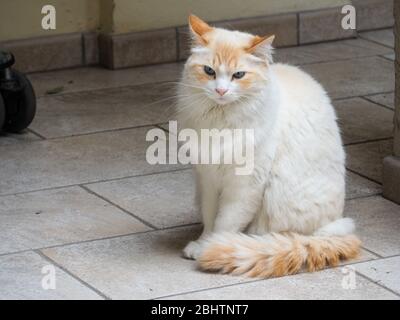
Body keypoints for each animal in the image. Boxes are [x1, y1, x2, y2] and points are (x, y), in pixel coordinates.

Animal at [177, 15, 360, 278]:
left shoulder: (245, 186)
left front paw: (211, 248)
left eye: (239, 75)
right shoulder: (208, 180)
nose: (221, 90)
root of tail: (334, 229)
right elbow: (210, 218)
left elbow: (224, 223)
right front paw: (202, 244)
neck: (220, 121)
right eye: (209, 71)